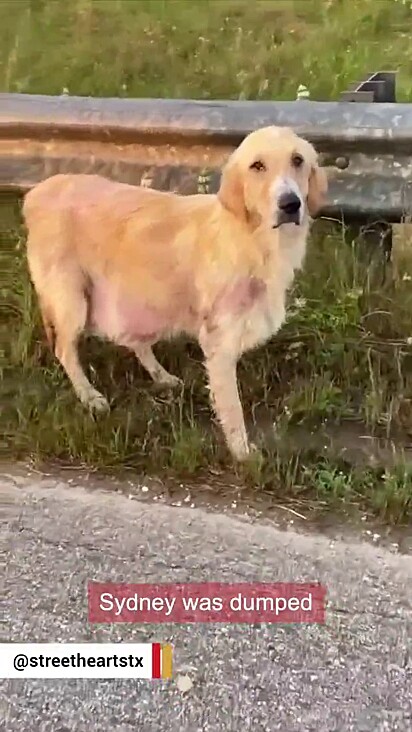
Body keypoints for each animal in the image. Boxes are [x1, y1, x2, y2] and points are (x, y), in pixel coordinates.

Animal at [24, 124, 326, 458]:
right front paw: (243, 454)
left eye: (298, 160)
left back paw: (162, 376)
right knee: (65, 349)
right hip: (74, 301)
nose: (291, 204)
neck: (251, 238)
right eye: (257, 166)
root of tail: (38, 191)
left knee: (135, 341)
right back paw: (90, 396)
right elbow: (232, 408)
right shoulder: (219, 343)